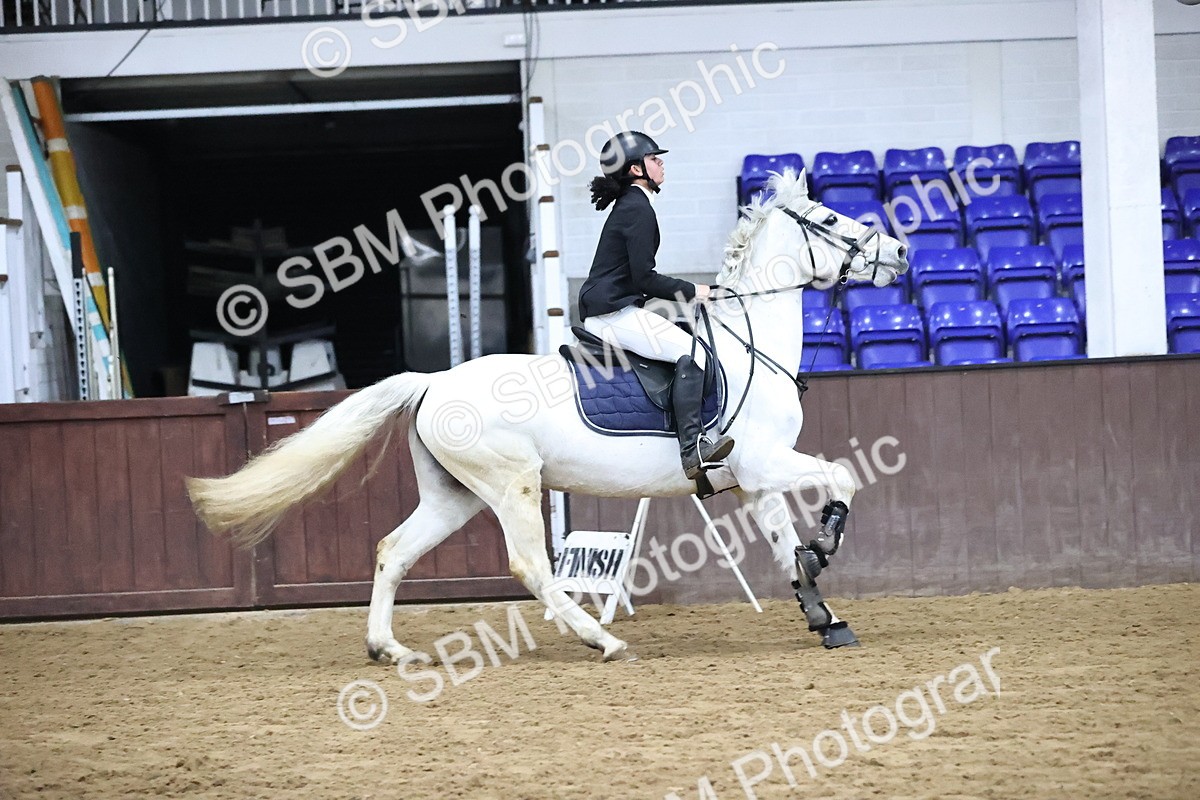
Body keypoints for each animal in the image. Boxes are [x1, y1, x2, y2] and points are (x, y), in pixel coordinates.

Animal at [186, 169, 909, 663]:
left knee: (394, 550)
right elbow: (843, 477)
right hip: (512, 484)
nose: (901, 253)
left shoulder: (754, 480)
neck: (747, 340)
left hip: (454, 495)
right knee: (531, 567)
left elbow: (785, 548)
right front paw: (826, 545)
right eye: (830, 217)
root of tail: (433, 382)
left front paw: (825, 616)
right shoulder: (764, 462)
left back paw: (387, 649)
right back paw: (599, 640)